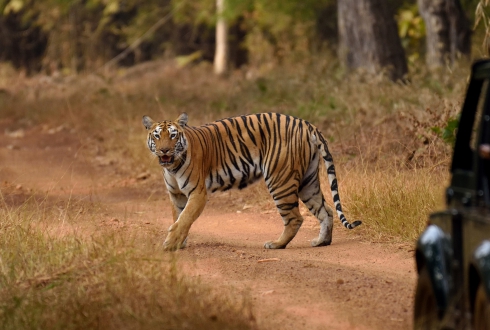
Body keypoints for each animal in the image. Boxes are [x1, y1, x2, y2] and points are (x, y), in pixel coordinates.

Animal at [142, 111, 360, 250]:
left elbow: (185, 218)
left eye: (173, 135)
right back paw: (321, 242)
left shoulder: (198, 193)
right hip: (309, 182)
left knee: (295, 218)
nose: (164, 150)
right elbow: (178, 217)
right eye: (157, 136)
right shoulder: (176, 194)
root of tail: (305, 123)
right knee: (326, 210)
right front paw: (179, 242)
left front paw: (170, 244)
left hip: (279, 180)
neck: (172, 167)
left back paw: (276, 244)